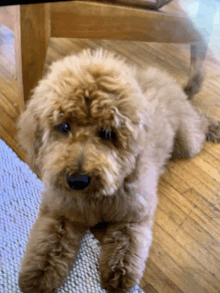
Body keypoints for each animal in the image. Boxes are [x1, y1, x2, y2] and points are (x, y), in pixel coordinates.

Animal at [17, 48, 220, 292]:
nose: (77, 180)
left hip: (188, 141)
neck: (95, 198)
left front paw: (118, 275)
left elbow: (126, 243)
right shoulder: (59, 212)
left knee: (199, 120)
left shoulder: (133, 215)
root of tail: (168, 80)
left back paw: (214, 126)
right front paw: (38, 275)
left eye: (107, 132)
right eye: (64, 126)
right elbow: (47, 243)